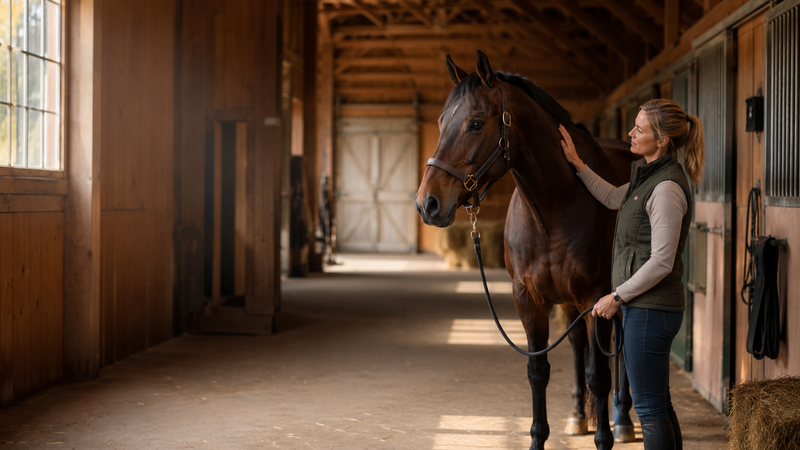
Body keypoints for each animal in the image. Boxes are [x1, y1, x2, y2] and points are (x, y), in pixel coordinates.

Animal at [416, 50, 638, 450]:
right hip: (569, 304)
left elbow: (600, 374)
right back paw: (579, 415)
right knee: (579, 346)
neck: (555, 207)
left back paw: (623, 420)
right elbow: (539, 371)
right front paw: (540, 437)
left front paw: (605, 437)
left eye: (475, 123)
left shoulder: (595, 298)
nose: (428, 203)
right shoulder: (530, 299)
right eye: (440, 122)